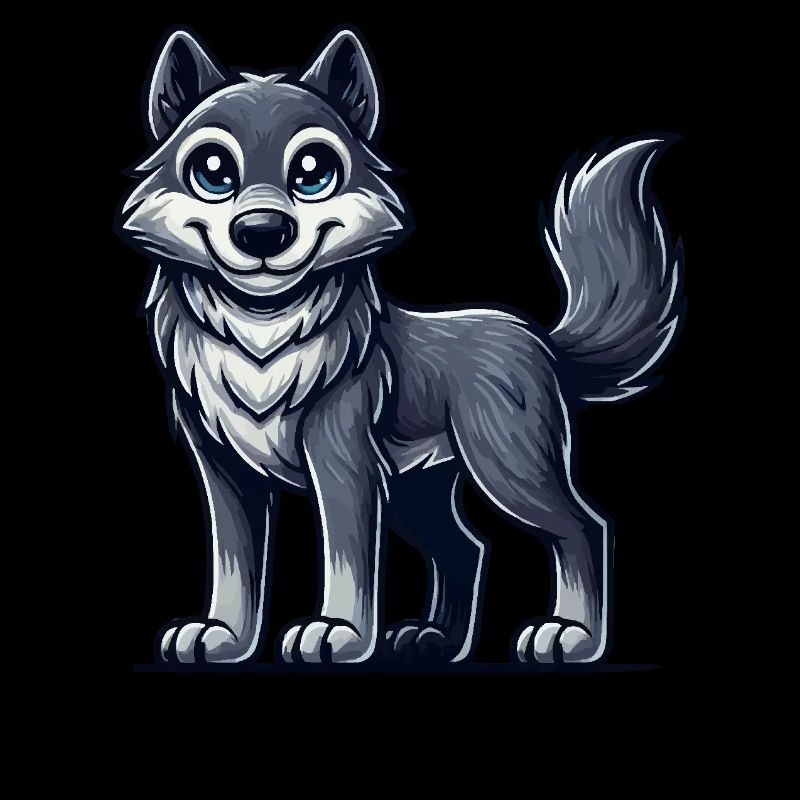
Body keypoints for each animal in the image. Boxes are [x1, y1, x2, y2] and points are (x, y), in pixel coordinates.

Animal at [117, 26, 684, 666]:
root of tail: (537, 338)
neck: (261, 333)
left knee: (583, 527)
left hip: (506, 466)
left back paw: (573, 636)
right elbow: (235, 564)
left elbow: (348, 557)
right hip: (418, 491)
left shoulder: (344, 459)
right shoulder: (224, 469)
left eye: (313, 171)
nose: (263, 232)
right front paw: (225, 637)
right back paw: (435, 640)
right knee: (467, 548)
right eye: (213, 170)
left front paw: (339, 633)